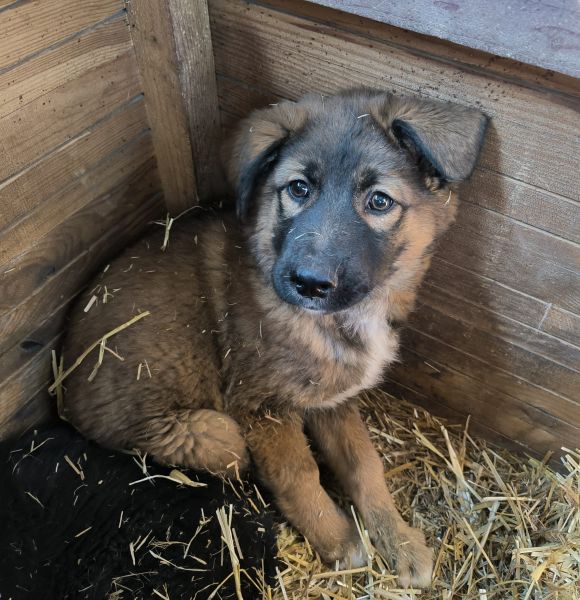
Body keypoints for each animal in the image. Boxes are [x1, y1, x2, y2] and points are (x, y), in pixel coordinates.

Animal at [62, 88, 488, 587]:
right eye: (298, 189)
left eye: (379, 202)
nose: (309, 282)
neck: (337, 321)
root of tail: (62, 377)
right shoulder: (261, 409)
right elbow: (298, 473)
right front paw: (337, 538)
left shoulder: (333, 400)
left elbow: (365, 466)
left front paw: (397, 539)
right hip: (213, 433)